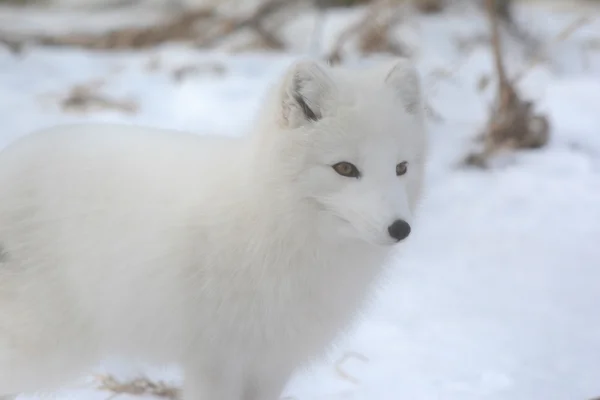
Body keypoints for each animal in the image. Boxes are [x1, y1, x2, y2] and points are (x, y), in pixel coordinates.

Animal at [0, 58, 428, 400]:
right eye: (345, 168)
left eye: (401, 168)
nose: (400, 228)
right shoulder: (216, 363)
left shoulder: (271, 364)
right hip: (44, 348)